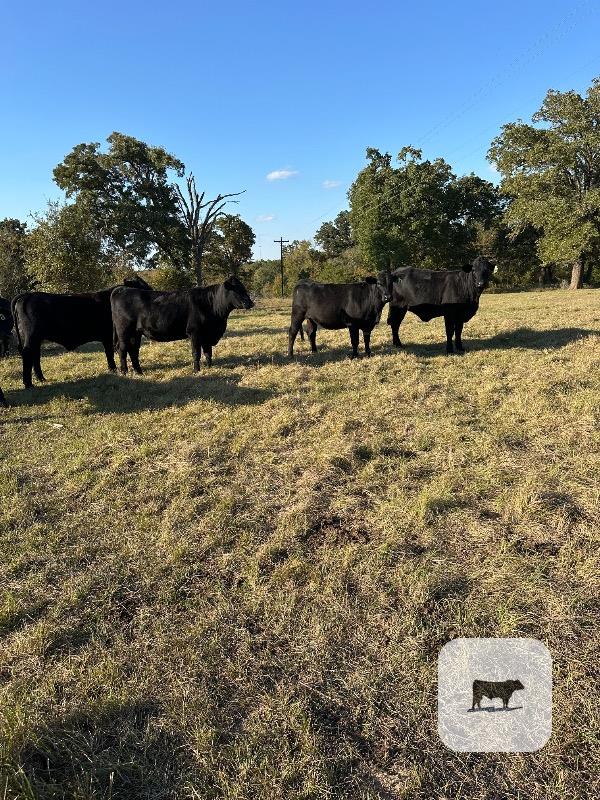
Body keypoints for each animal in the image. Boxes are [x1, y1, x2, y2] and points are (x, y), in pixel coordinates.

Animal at [11, 277, 151, 388]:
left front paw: (113, 369)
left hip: (36, 338)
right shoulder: (108, 336)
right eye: (140, 288)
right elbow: (110, 353)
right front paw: (113, 369)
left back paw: (41, 378)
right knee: (28, 354)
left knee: (35, 355)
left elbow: (115, 353)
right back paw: (28, 384)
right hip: (32, 335)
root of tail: (28, 295)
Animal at [110, 275, 254, 375]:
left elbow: (208, 352)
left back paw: (139, 372)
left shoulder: (206, 334)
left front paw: (210, 367)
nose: (250, 303)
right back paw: (124, 372)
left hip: (136, 332)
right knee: (122, 349)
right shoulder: (194, 332)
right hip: (124, 331)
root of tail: (121, 289)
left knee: (133, 350)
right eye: (236, 290)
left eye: (244, 288)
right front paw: (196, 370)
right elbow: (196, 353)